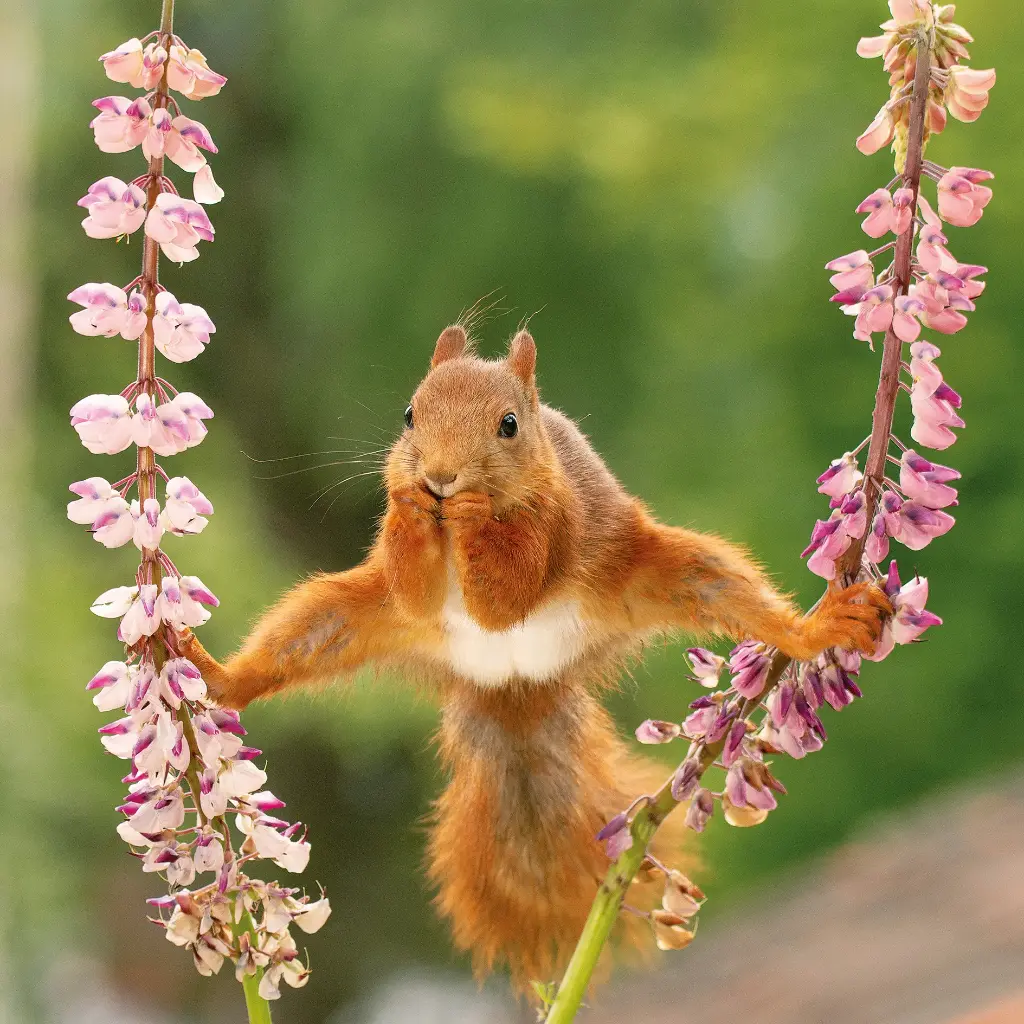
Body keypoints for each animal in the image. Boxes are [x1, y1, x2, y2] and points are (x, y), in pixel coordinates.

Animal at [180, 323, 889, 990]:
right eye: (408, 414)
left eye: (509, 425)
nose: (440, 478)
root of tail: (515, 683)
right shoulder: (408, 590)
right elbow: (413, 588)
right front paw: (411, 503)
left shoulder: (557, 524)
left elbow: (508, 594)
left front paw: (469, 513)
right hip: (346, 616)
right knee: (304, 635)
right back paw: (217, 678)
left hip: (654, 572)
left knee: (720, 585)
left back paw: (816, 628)